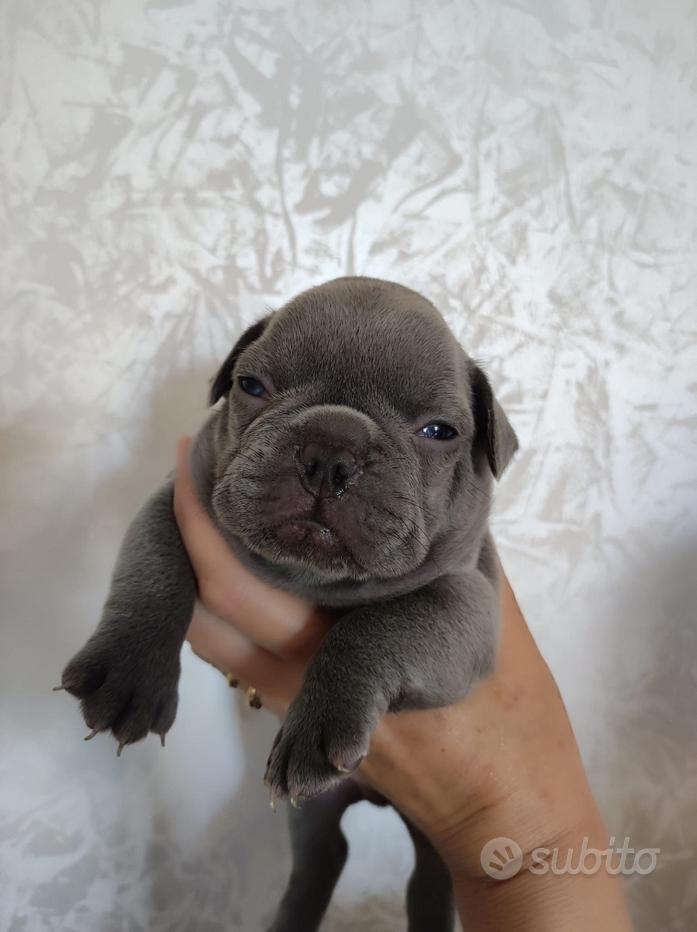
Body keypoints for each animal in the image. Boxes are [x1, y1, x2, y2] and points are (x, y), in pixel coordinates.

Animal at [60, 276, 518, 931]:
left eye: (439, 432)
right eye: (253, 386)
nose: (330, 450)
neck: (312, 578)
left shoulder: (467, 604)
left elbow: (382, 622)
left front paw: (321, 715)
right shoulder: (179, 498)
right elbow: (154, 565)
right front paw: (130, 674)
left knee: (430, 877)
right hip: (311, 814)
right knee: (323, 855)